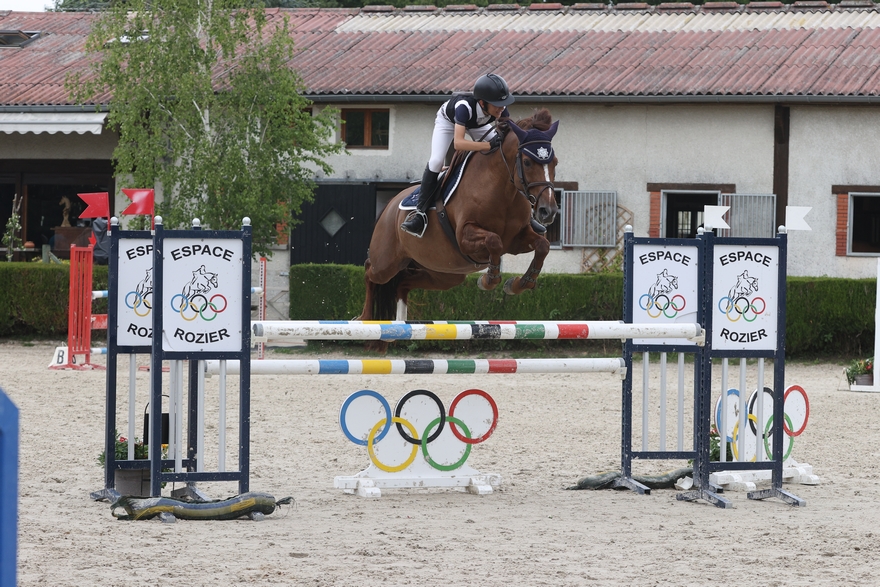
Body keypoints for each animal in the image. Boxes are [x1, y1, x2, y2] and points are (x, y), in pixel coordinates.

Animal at [356, 110, 556, 322]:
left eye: (555, 163)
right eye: (527, 162)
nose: (548, 211)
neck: (504, 191)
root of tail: (390, 205)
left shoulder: (516, 239)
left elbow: (542, 246)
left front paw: (520, 284)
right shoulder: (465, 237)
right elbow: (494, 241)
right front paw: (488, 280)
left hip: (444, 273)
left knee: (403, 283)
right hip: (386, 262)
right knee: (369, 270)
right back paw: (364, 317)